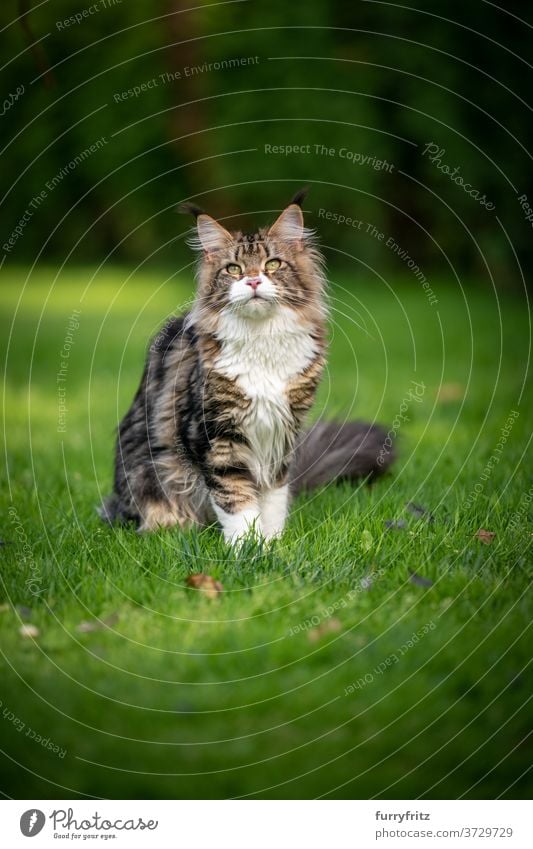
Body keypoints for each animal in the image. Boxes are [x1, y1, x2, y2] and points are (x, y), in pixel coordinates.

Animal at [100, 190, 392, 544]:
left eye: (273, 264)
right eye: (234, 269)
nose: (253, 280)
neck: (262, 341)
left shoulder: (281, 435)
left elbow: (272, 500)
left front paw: (273, 543)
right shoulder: (216, 438)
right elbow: (237, 501)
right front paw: (248, 549)